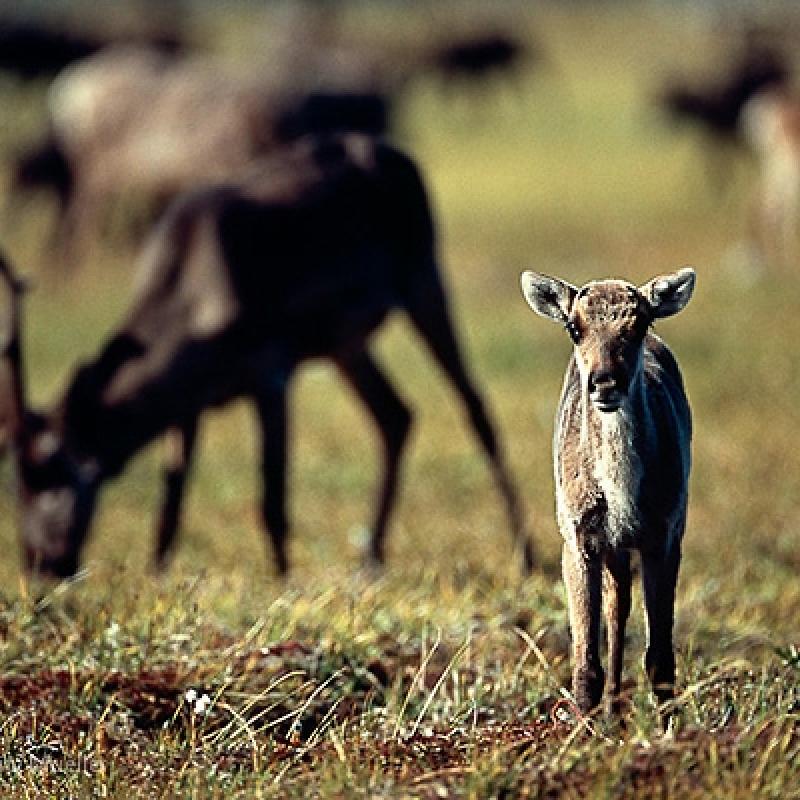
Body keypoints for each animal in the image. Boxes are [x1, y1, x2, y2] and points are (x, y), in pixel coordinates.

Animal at [1, 134, 536, 580]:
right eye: (14, 479)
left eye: (49, 470)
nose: (40, 562)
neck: (190, 306)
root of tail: (401, 157)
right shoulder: (190, 401)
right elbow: (172, 494)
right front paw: (157, 573)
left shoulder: (271, 369)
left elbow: (272, 496)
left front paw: (282, 579)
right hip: (344, 342)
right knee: (395, 415)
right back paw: (371, 559)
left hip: (423, 276)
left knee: (475, 409)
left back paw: (525, 555)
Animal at [520, 268, 692, 712]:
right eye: (573, 327)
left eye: (640, 323)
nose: (604, 383)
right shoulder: (577, 536)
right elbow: (585, 666)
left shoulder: (665, 533)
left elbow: (660, 660)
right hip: (609, 547)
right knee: (617, 607)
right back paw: (613, 711)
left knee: (622, 607)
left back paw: (617, 710)